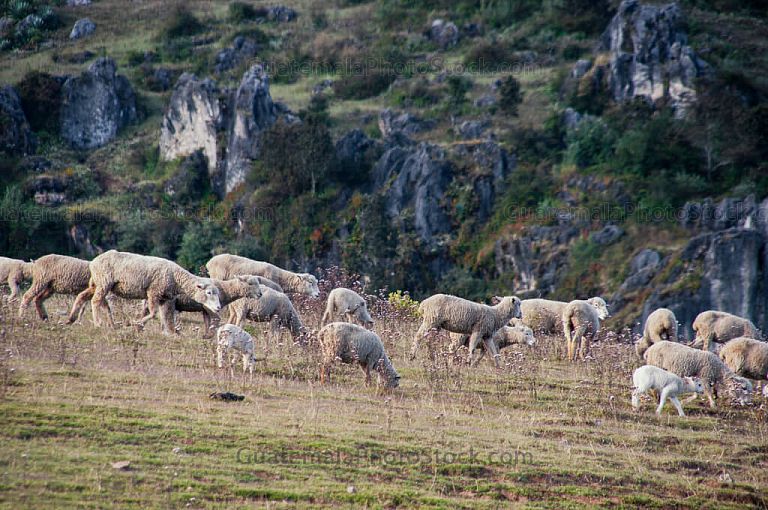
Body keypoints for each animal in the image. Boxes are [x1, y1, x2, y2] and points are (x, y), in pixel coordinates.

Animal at [68, 250, 221, 335]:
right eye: (208, 293)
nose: (218, 307)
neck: (176, 277)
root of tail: (93, 262)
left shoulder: (164, 298)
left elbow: (165, 316)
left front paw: (168, 332)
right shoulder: (153, 292)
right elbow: (153, 313)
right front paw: (133, 324)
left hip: (97, 283)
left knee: (82, 296)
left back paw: (71, 319)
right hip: (104, 282)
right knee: (95, 301)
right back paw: (98, 323)